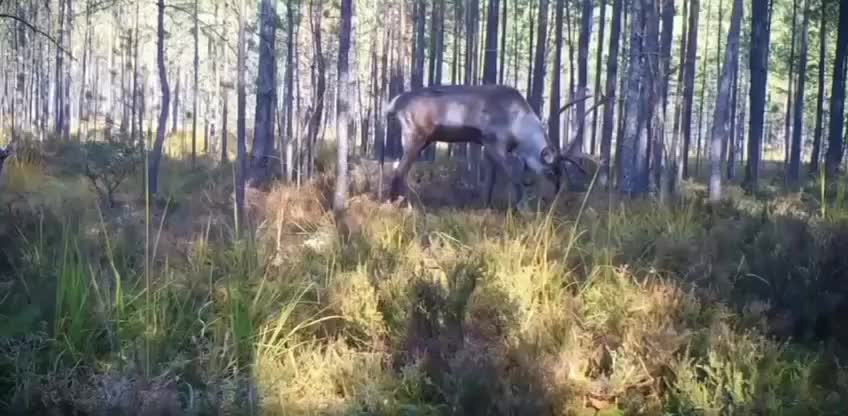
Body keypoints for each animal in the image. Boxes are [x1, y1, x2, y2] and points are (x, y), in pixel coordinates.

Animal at [386, 83, 588, 210]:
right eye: (550, 171)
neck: (519, 122)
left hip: (420, 141)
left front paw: (487, 206)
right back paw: (396, 205)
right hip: (415, 137)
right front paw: (523, 208)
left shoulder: (487, 146)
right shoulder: (494, 144)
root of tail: (394, 103)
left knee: (400, 168)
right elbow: (514, 175)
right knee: (399, 171)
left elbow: (490, 180)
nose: (552, 199)